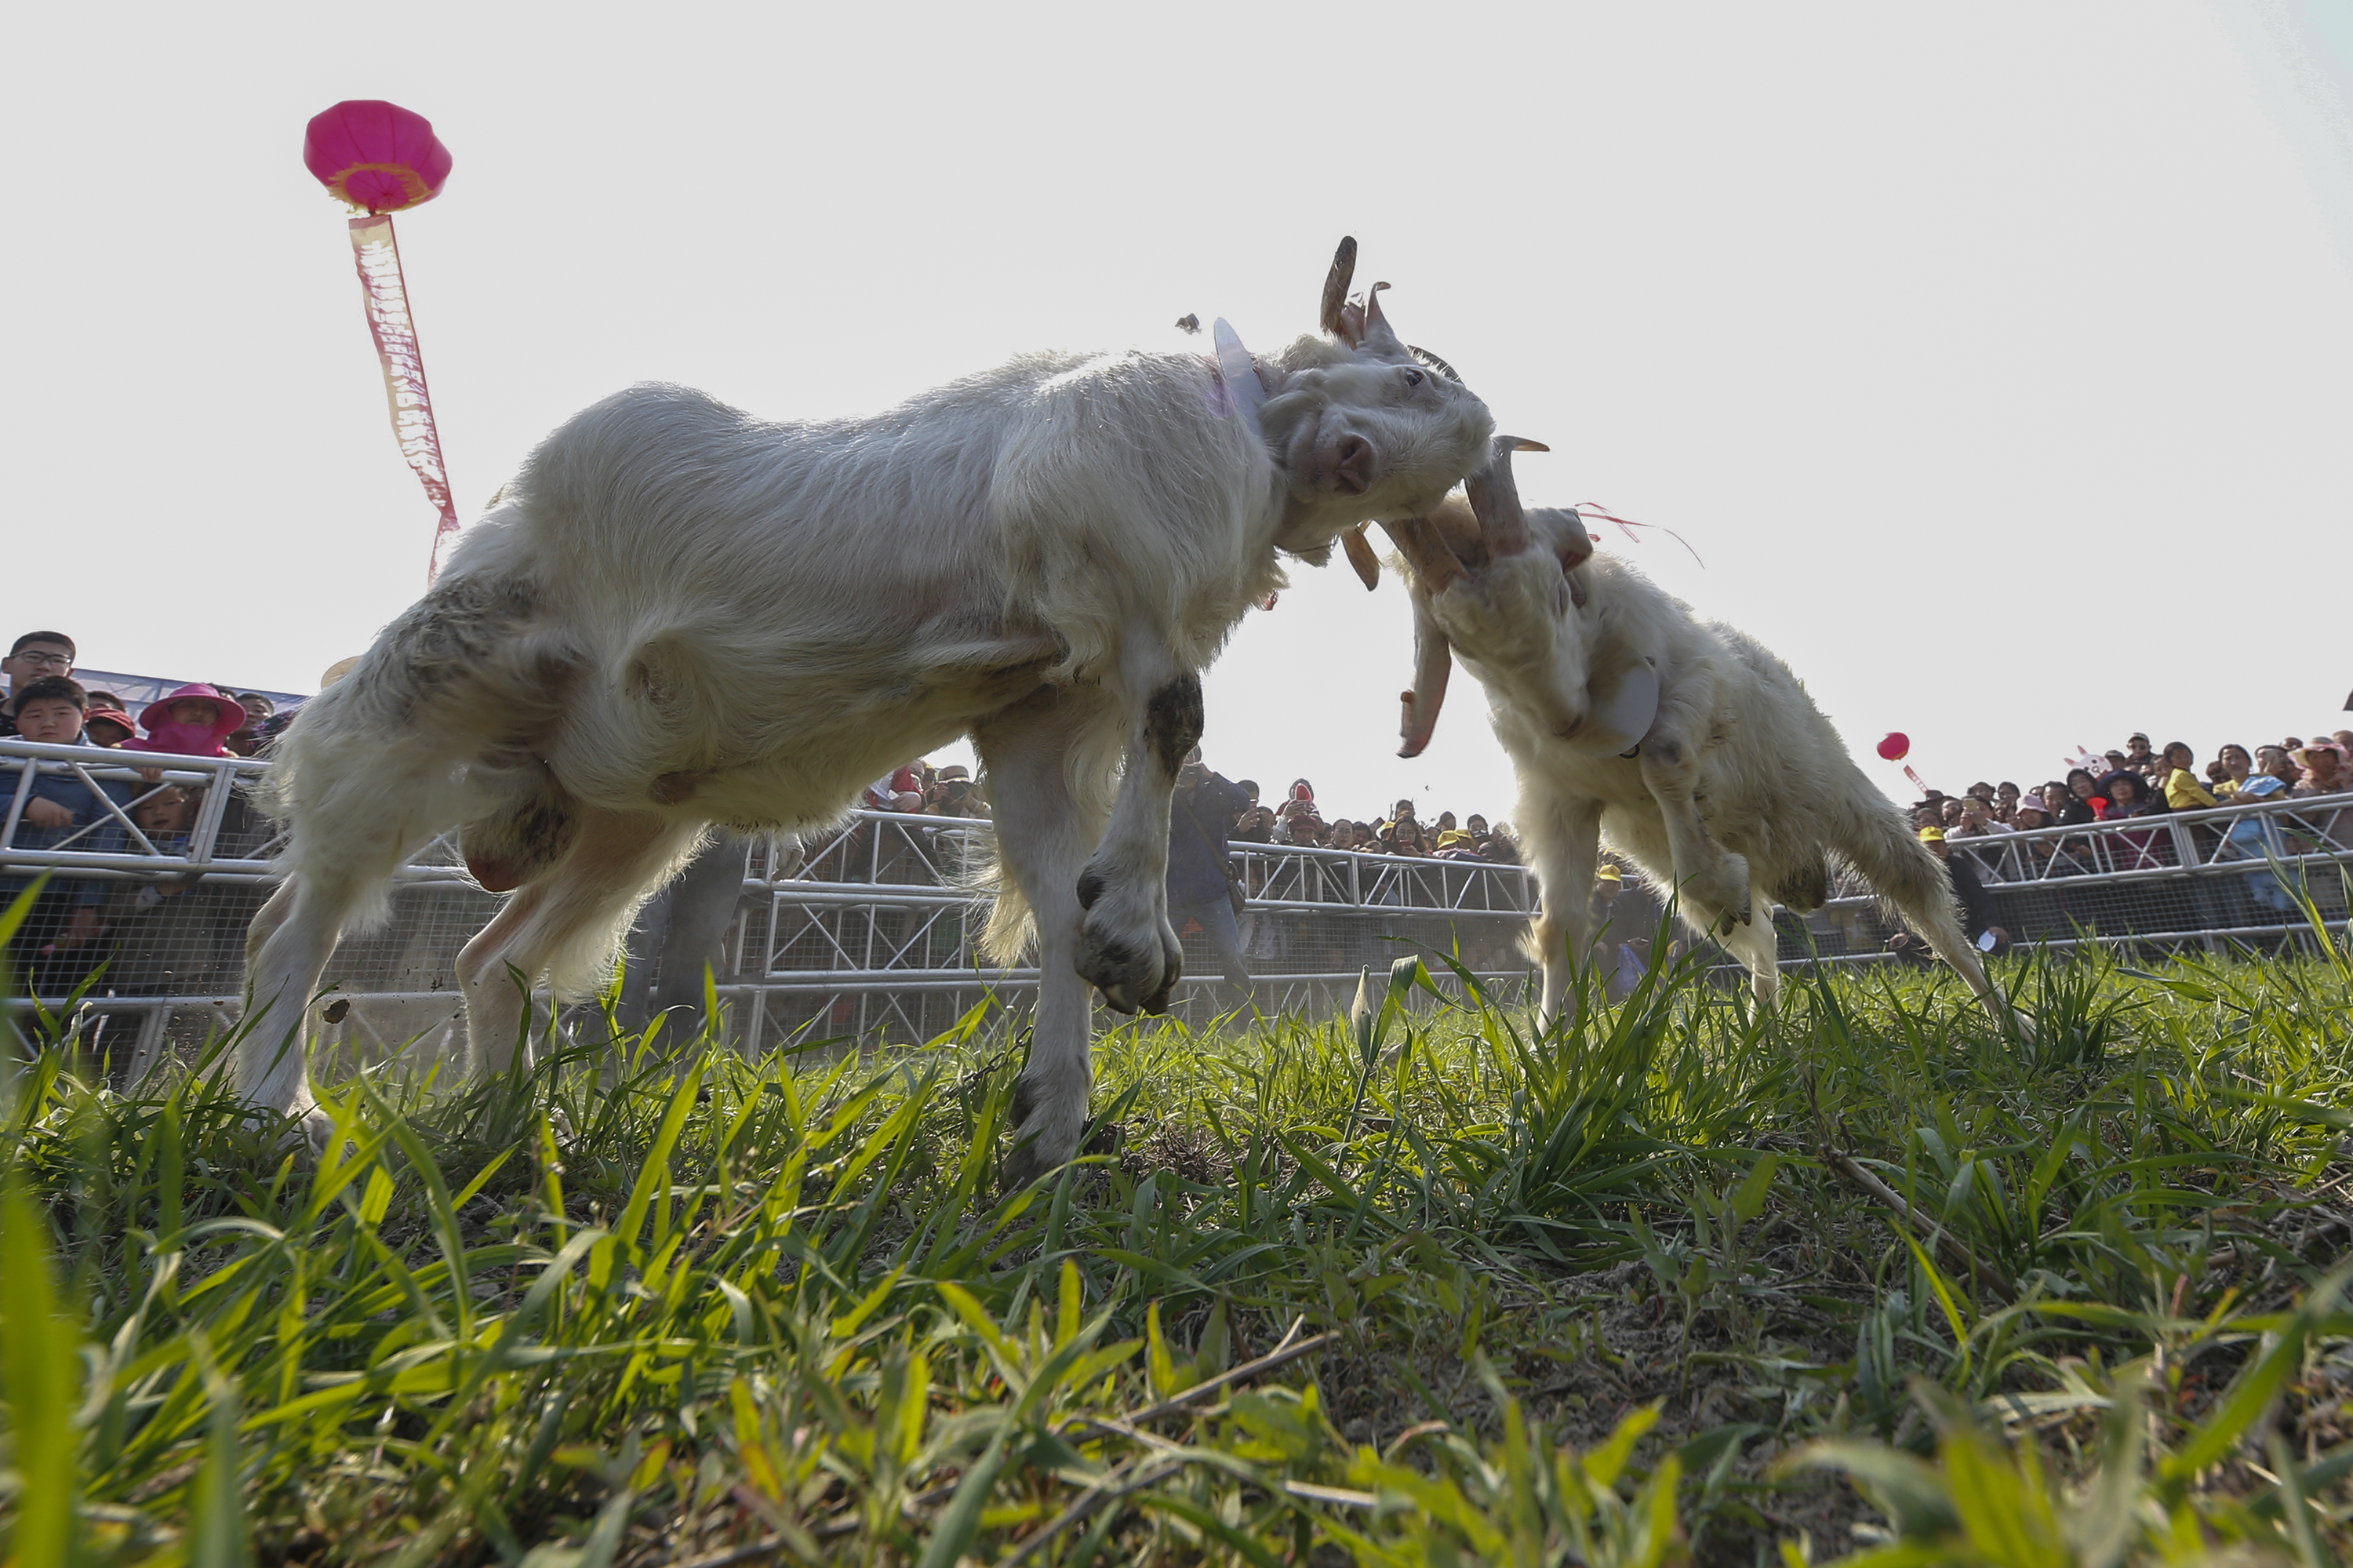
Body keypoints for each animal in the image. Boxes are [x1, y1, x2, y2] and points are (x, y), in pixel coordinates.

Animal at [238, 241, 1487, 1172]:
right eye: (1416, 379)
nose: (1357, 457)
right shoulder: (1115, 559)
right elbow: (1178, 715)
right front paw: (1138, 940)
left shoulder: (1041, 705)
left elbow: (1055, 889)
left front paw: (1054, 1112)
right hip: (425, 692)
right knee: (291, 915)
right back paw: (277, 1109)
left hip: (626, 818)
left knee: (488, 956)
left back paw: (505, 1127)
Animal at [1374, 440, 2005, 1026]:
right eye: (1460, 645)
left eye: (1561, 593)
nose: (1565, 722)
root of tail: (1800, 876)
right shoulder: (1558, 800)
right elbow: (1560, 928)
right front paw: (1551, 1047)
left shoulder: (1700, 691)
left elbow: (1663, 758)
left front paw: (1716, 879)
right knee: (1763, 940)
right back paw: (1761, 1028)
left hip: (1852, 804)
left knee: (1932, 916)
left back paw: (2009, 1025)